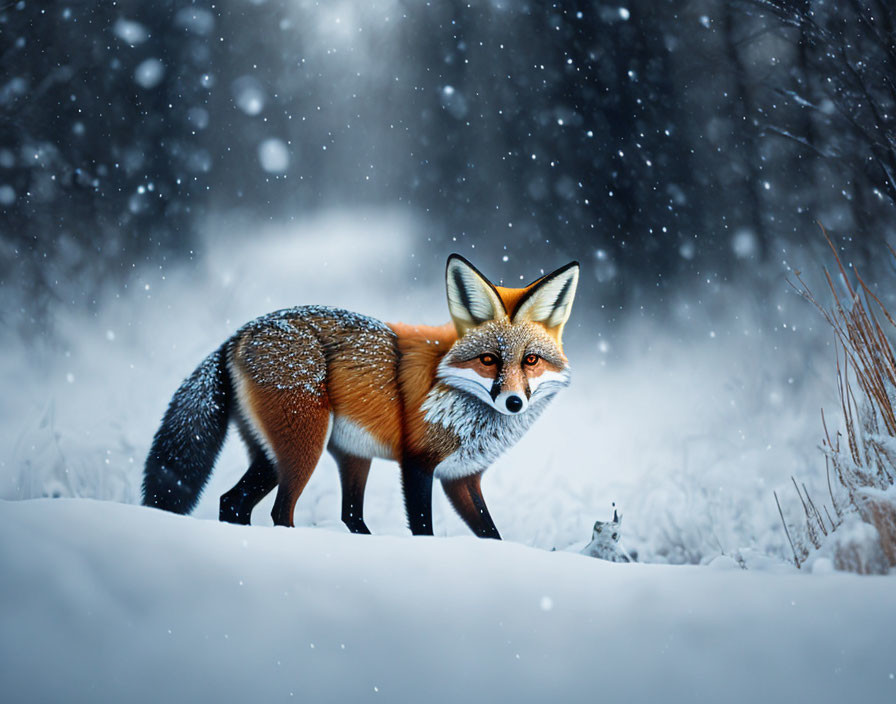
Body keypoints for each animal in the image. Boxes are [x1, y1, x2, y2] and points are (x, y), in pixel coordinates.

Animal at [145, 256, 580, 536]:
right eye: (488, 360)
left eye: (531, 360)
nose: (513, 402)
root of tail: (241, 332)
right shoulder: (417, 465)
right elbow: (424, 529)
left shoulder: (461, 478)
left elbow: (491, 533)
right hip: (305, 449)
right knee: (280, 511)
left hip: (291, 457)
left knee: (234, 503)